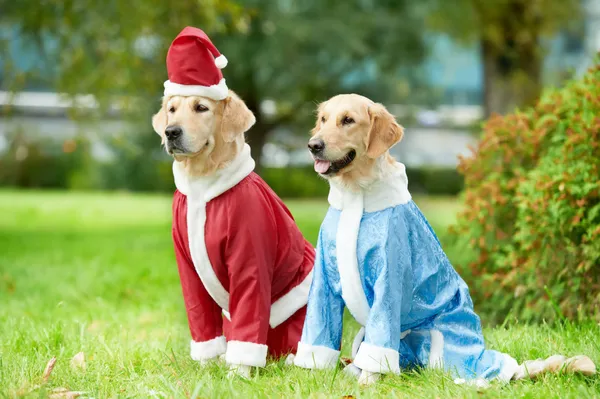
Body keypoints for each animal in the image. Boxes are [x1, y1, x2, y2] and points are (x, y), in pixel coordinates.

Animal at [152, 92, 316, 380]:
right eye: (171, 109)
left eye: (201, 107)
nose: (171, 132)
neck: (201, 184)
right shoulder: (190, 270)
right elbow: (201, 320)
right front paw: (206, 367)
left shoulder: (248, 260)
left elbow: (248, 323)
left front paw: (237, 375)